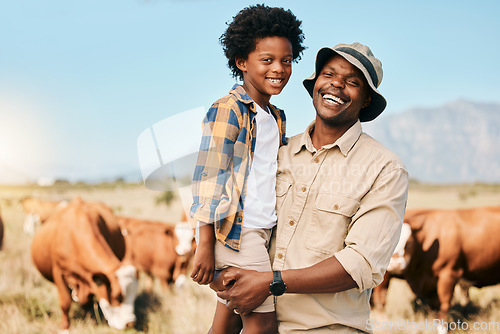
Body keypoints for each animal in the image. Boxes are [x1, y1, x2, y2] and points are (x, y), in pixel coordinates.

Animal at [30, 197, 139, 330]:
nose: (130, 324)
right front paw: (64, 327)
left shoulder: (91, 279)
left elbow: (88, 301)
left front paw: (90, 320)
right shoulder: (58, 272)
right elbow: (65, 302)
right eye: (118, 297)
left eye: (135, 295)